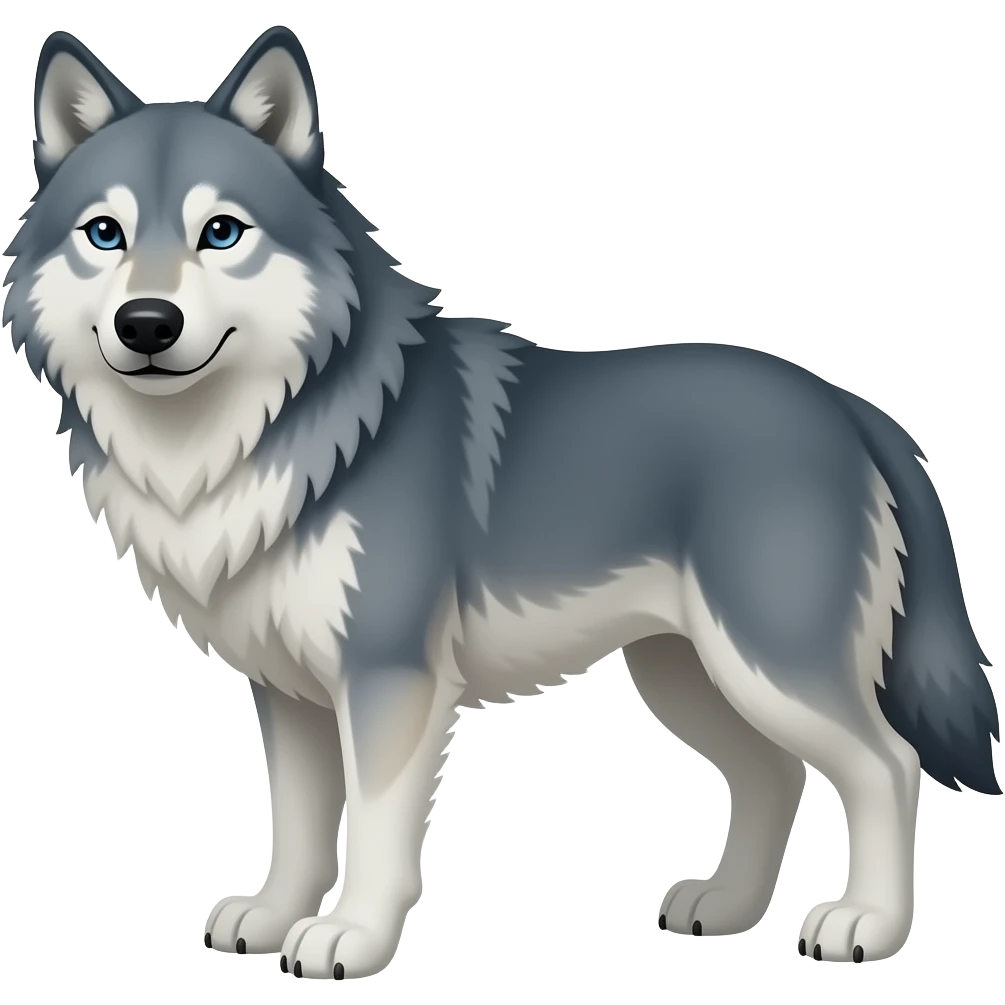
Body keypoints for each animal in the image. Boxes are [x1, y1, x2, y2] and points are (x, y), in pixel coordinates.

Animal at [4, 25, 1000, 980]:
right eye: (104, 234)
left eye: (220, 232)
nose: (147, 324)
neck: (266, 430)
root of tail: (851, 407)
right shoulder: (287, 689)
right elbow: (296, 822)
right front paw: (274, 914)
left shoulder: (389, 677)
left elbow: (372, 828)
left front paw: (350, 938)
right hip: (689, 672)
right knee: (774, 773)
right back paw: (725, 906)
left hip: (767, 663)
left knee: (885, 765)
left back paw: (865, 924)